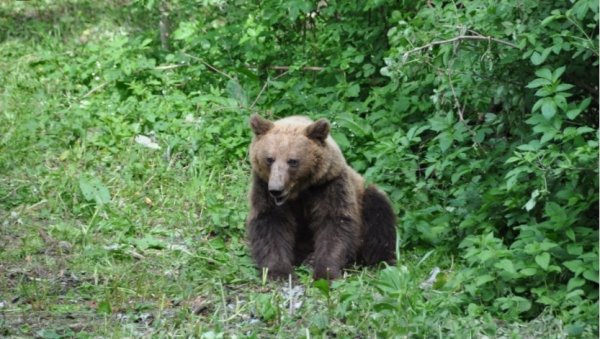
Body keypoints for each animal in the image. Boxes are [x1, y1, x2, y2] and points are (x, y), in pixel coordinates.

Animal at [246, 115, 396, 280]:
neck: (300, 190)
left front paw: (326, 272)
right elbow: (271, 224)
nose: (276, 190)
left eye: (292, 161)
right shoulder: (263, 187)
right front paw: (278, 272)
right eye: (269, 159)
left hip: (365, 195)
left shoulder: (329, 185)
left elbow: (335, 223)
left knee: (379, 217)